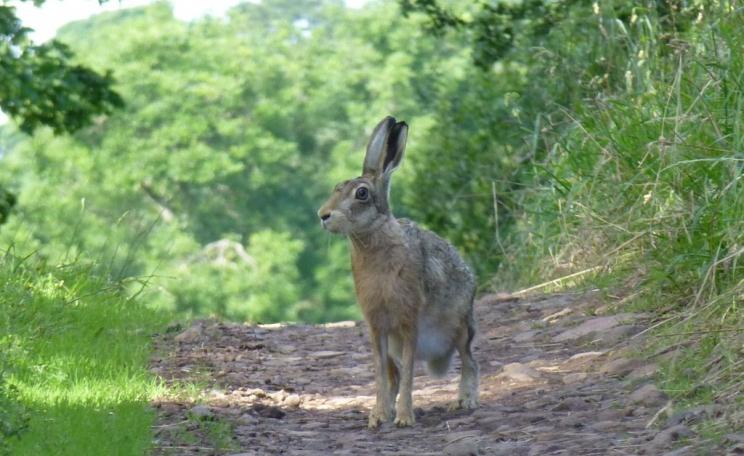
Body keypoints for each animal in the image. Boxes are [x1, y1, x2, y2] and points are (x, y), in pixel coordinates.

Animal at [317, 116, 479, 428]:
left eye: (361, 193)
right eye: (336, 187)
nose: (323, 216)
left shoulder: (408, 320)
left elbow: (408, 376)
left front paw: (404, 419)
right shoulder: (378, 326)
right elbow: (382, 374)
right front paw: (379, 416)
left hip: (460, 327)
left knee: (470, 361)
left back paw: (465, 401)